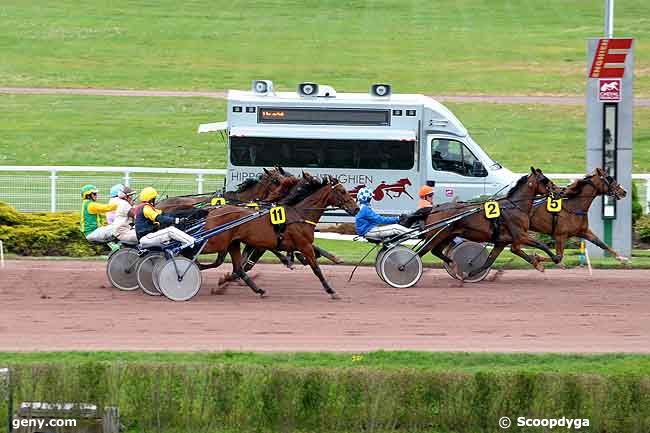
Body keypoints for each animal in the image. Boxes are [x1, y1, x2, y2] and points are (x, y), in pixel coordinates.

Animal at [200, 172, 356, 296]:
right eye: (342, 191)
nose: (356, 208)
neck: (299, 214)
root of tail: (213, 211)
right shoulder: (303, 245)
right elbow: (316, 268)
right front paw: (331, 290)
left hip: (232, 243)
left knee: (236, 267)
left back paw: (258, 290)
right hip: (217, 241)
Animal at [418, 165, 560, 276]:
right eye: (544, 180)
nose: (559, 190)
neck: (515, 206)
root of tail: (433, 209)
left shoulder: (503, 242)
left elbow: (490, 261)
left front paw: (471, 272)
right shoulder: (521, 236)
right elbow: (541, 244)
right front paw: (556, 258)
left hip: (447, 236)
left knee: (436, 251)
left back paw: (453, 263)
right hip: (436, 235)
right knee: (421, 252)